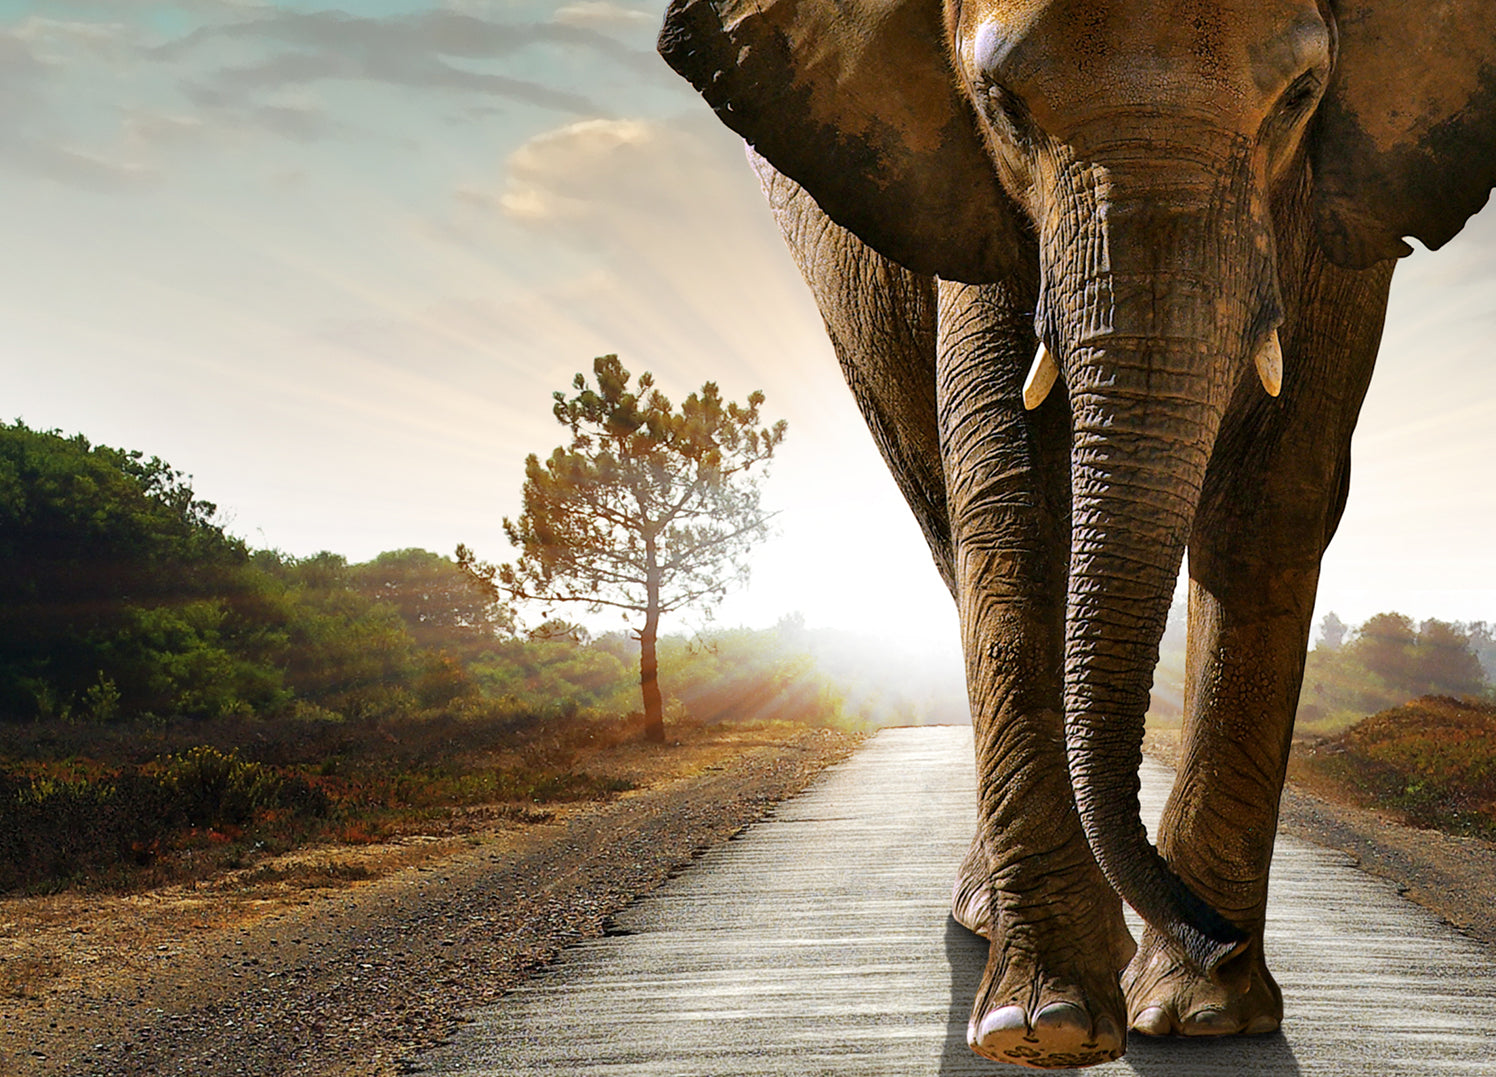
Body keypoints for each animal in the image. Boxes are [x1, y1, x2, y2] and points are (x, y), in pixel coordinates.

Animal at [658, 0, 1496, 1069]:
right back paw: (992, 923)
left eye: (1301, 96)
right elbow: (1012, 490)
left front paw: (1204, 1013)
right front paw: (1047, 1024)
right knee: (942, 511)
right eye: (1001, 106)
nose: (1217, 934)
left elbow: (1274, 495)